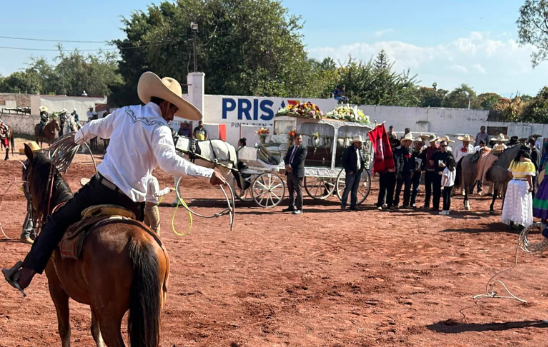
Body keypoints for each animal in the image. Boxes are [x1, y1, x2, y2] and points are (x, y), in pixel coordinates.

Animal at [23, 143, 169, 346]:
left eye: (26, 178)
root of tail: (138, 240)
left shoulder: (56, 288)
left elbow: (64, 329)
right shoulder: (94, 302)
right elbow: (94, 330)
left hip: (109, 316)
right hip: (152, 312)